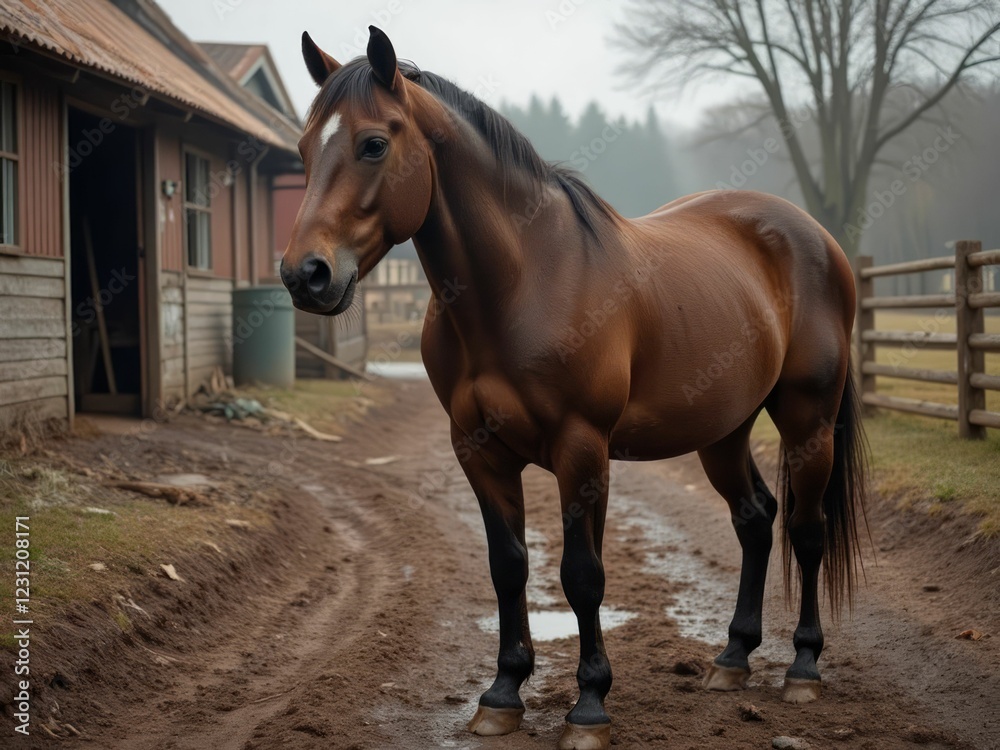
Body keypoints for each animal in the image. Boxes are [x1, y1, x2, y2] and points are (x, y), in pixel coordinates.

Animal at [280, 26, 867, 750]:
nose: (305, 274)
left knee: (808, 532)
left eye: (372, 144)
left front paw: (588, 705)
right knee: (756, 520)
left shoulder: (580, 448)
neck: (524, 282)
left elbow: (582, 575)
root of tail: (815, 238)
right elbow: (509, 567)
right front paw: (503, 694)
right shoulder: (478, 450)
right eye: (304, 149)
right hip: (724, 431)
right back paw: (732, 658)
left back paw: (804, 668)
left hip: (808, 419)